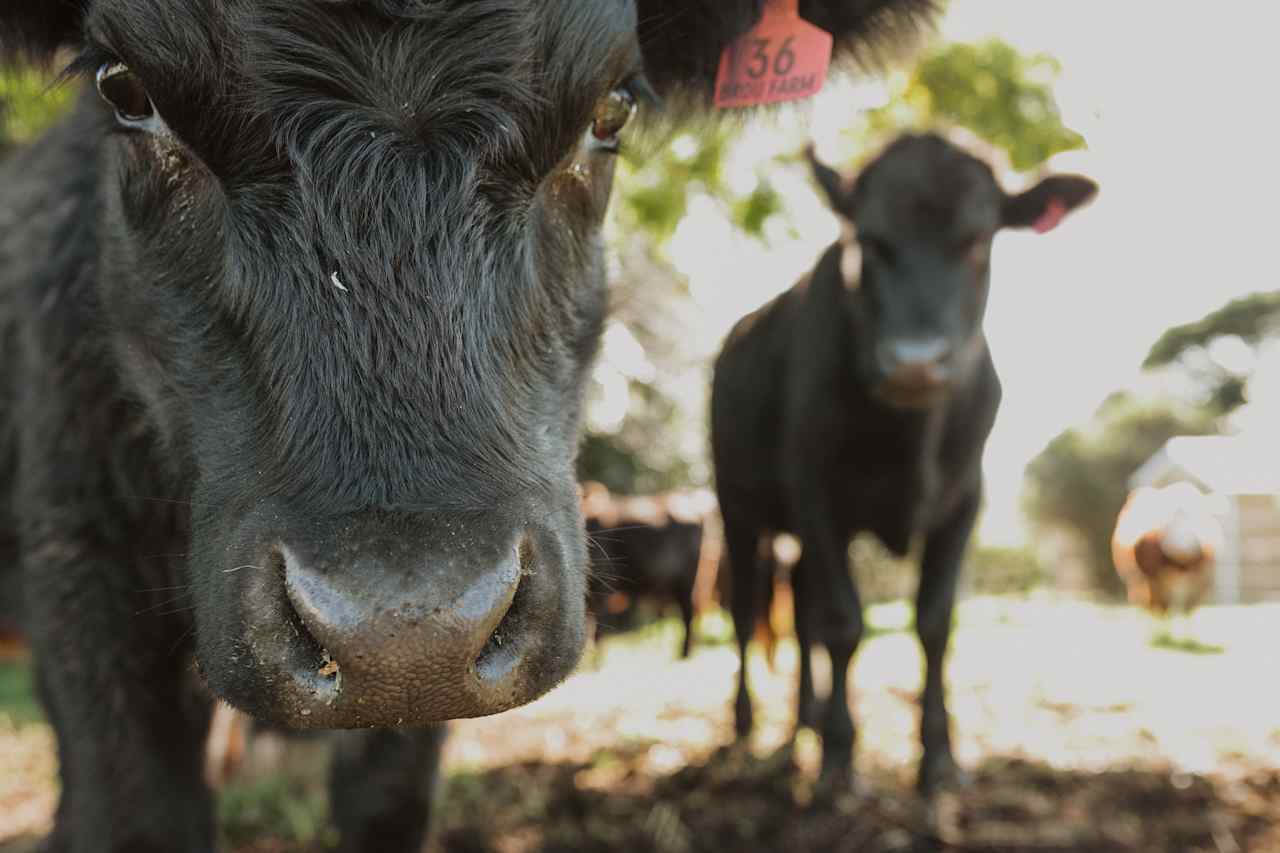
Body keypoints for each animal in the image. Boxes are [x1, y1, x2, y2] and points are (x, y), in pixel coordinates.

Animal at [706, 131, 1095, 788]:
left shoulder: (964, 502)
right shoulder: (815, 493)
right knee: (746, 612)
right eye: (869, 240)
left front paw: (937, 754)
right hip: (737, 507)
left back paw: (805, 718)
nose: (915, 362)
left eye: (977, 240)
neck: (911, 441)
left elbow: (933, 623)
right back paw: (745, 724)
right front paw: (839, 757)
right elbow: (843, 622)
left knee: (802, 612)